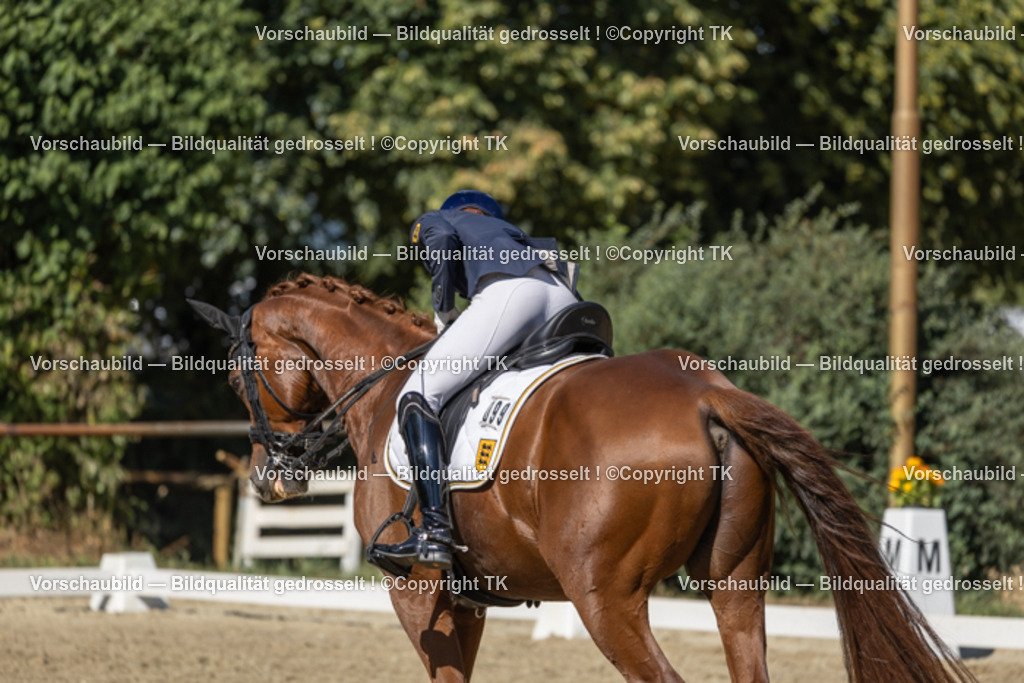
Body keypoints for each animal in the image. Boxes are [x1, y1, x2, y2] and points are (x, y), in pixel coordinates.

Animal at [189, 273, 974, 683]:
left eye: (234, 378)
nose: (271, 479)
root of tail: (705, 392)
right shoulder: (468, 597)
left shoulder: (416, 592)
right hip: (735, 579)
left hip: (605, 596)